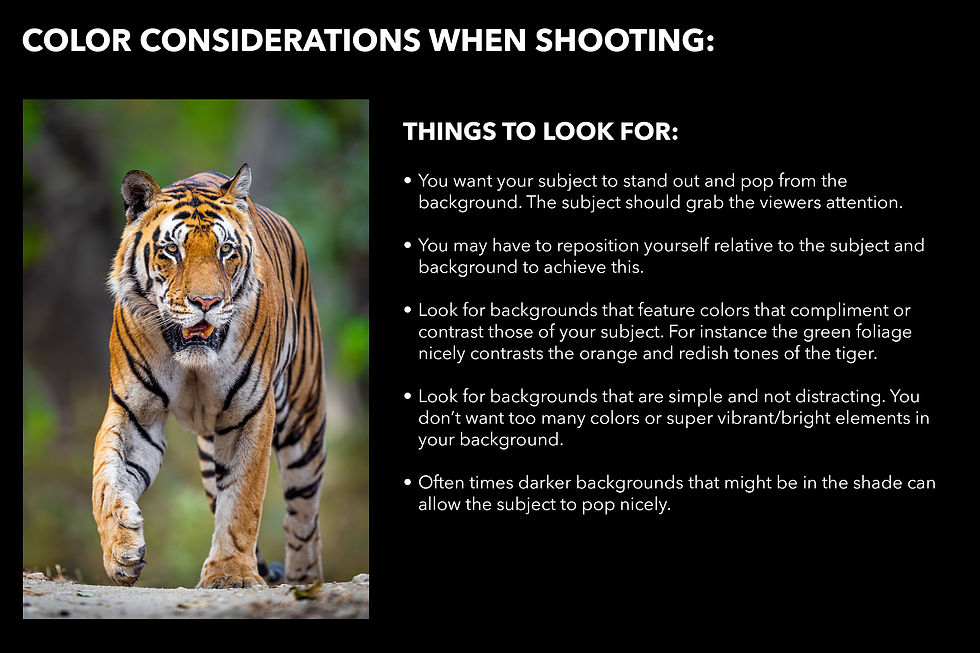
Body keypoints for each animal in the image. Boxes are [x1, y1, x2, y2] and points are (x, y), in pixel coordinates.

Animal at [92, 164, 327, 589]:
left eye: (226, 250)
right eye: (172, 250)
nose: (207, 302)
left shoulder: (251, 413)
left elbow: (242, 501)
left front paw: (231, 574)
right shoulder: (135, 412)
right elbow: (106, 478)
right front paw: (121, 548)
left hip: (304, 422)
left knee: (303, 516)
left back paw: (304, 581)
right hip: (208, 453)